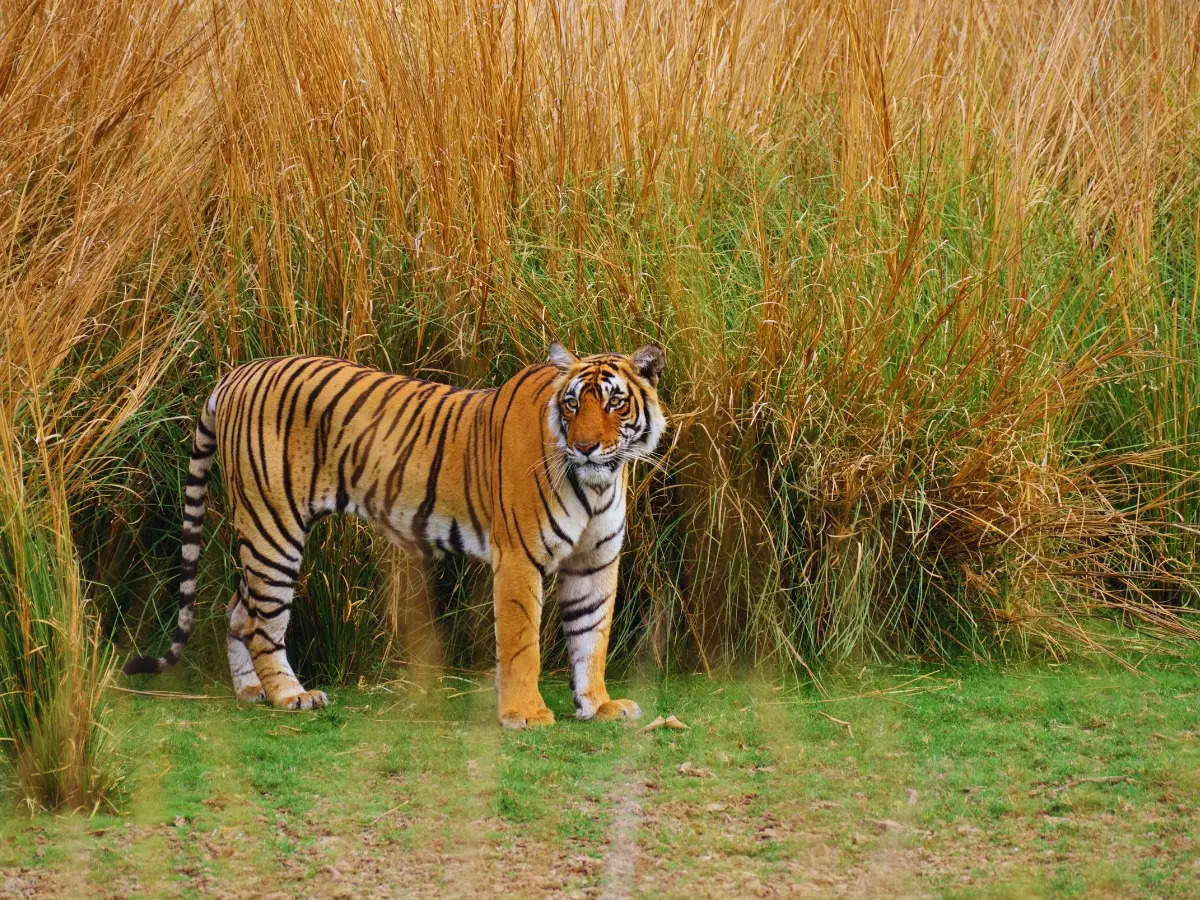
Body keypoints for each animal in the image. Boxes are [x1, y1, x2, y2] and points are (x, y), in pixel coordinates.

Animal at [126, 340, 672, 729]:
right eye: (573, 404)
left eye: (615, 404)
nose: (584, 448)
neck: (597, 483)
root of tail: (237, 373)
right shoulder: (520, 557)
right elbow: (522, 644)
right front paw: (526, 714)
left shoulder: (595, 561)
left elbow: (591, 637)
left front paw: (598, 705)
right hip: (272, 526)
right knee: (264, 621)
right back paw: (290, 695)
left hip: (263, 532)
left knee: (239, 610)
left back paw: (251, 691)